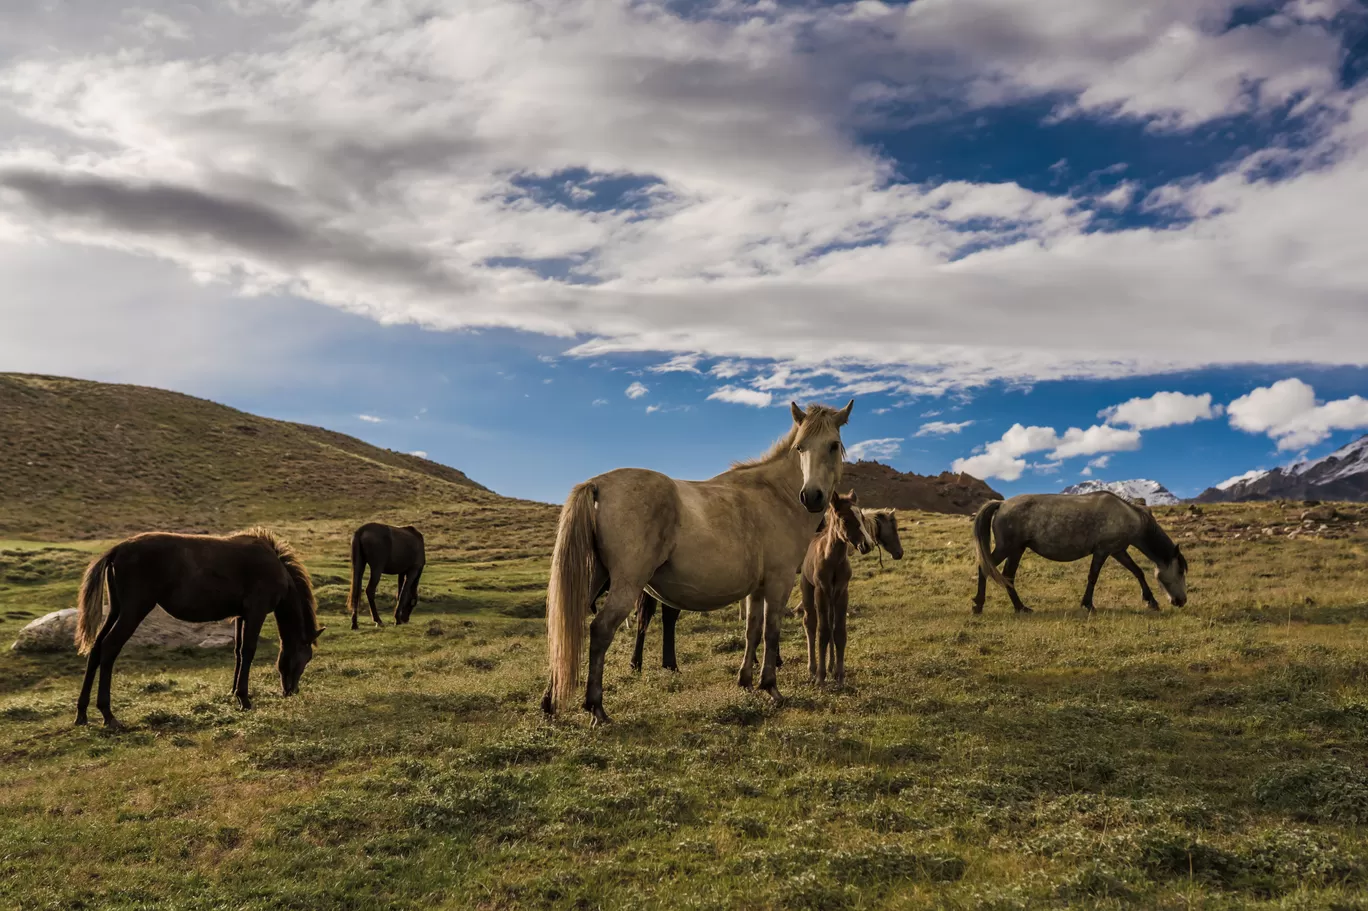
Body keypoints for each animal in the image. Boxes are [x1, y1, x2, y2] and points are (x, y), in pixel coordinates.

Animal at [77, 525, 325, 722]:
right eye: (305, 658)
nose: (292, 691)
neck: (275, 567)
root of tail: (117, 549)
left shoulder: (241, 616)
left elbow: (238, 652)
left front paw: (234, 692)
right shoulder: (256, 612)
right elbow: (248, 651)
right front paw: (244, 699)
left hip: (116, 610)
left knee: (96, 649)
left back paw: (82, 713)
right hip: (133, 611)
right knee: (109, 647)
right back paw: (108, 714)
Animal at [544, 396, 853, 722]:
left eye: (833, 445)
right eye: (800, 447)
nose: (812, 496)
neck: (775, 496)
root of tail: (597, 483)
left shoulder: (757, 589)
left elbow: (752, 630)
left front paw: (745, 680)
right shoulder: (778, 582)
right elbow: (771, 632)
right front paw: (770, 687)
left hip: (595, 580)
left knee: (566, 631)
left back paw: (550, 703)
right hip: (626, 585)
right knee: (600, 630)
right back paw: (596, 707)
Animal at [798, 489, 870, 681]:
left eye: (862, 517)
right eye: (845, 519)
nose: (867, 545)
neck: (834, 561)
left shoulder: (842, 592)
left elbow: (839, 631)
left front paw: (839, 674)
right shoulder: (821, 591)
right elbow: (822, 631)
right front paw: (820, 677)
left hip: (832, 598)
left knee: (830, 623)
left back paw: (830, 666)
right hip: (808, 590)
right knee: (810, 623)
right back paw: (812, 668)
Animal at [974, 492, 1187, 612]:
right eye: (1180, 571)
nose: (1182, 601)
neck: (1131, 516)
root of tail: (1001, 504)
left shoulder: (1118, 551)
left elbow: (1138, 572)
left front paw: (1151, 601)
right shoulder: (1103, 551)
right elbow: (1093, 577)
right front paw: (1088, 604)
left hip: (1016, 549)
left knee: (1007, 576)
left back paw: (1020, 607)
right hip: (1007, 547)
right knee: (985, 568)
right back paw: (978, 605)